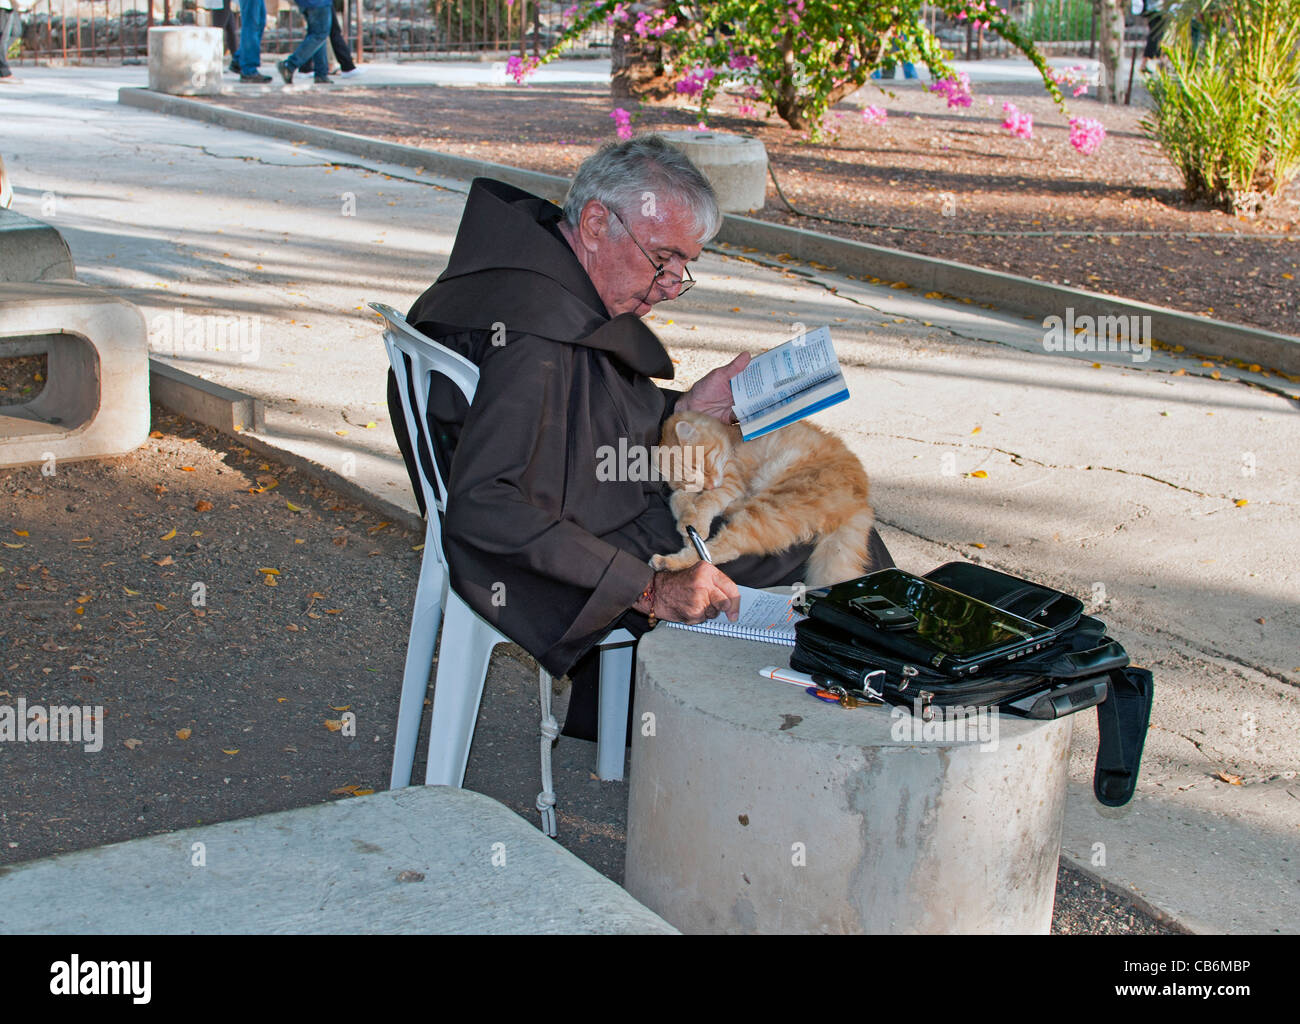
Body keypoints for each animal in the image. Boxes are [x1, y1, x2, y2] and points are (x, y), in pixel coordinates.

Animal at [650, 408, 873, 584]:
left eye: (703, 467)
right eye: (688, 481)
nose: (710, 484)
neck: (730, 437)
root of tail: (860, 501)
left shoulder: (732, 481)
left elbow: (707, 501)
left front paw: (696, 525)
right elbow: (678, 499)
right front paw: (686, 520)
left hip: (769, 508)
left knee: (721, 548)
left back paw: (667, 561)